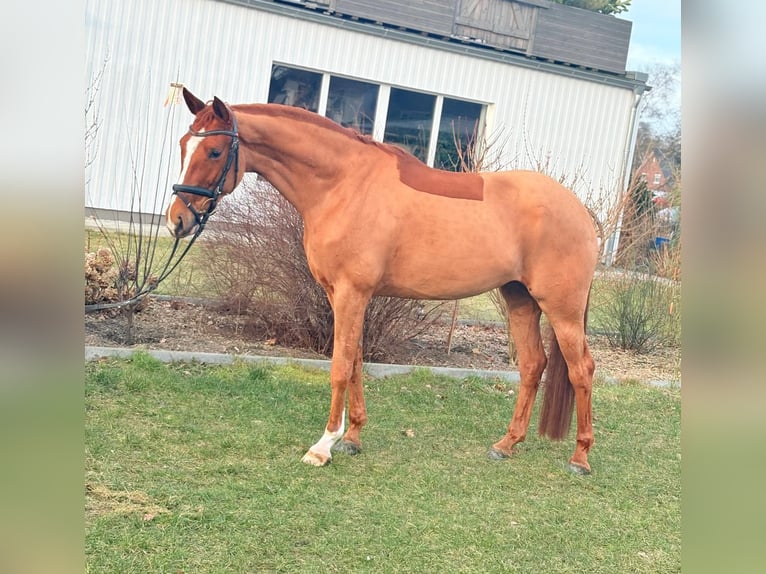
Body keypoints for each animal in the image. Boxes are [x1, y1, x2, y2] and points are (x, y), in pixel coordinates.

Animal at [168, 90, 600, 474]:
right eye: (184, 145)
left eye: (214, 152)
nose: (178, 220)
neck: (343, 184)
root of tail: (581, 212)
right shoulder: (341, 295)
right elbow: (357, 359)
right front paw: (353, 437)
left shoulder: (351, 293)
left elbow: (341, 365)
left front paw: (323, 446)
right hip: (519, 299)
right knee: (532, 365)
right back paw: (506, 444)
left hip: (561, 308)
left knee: (582, 369)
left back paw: (580, 458)